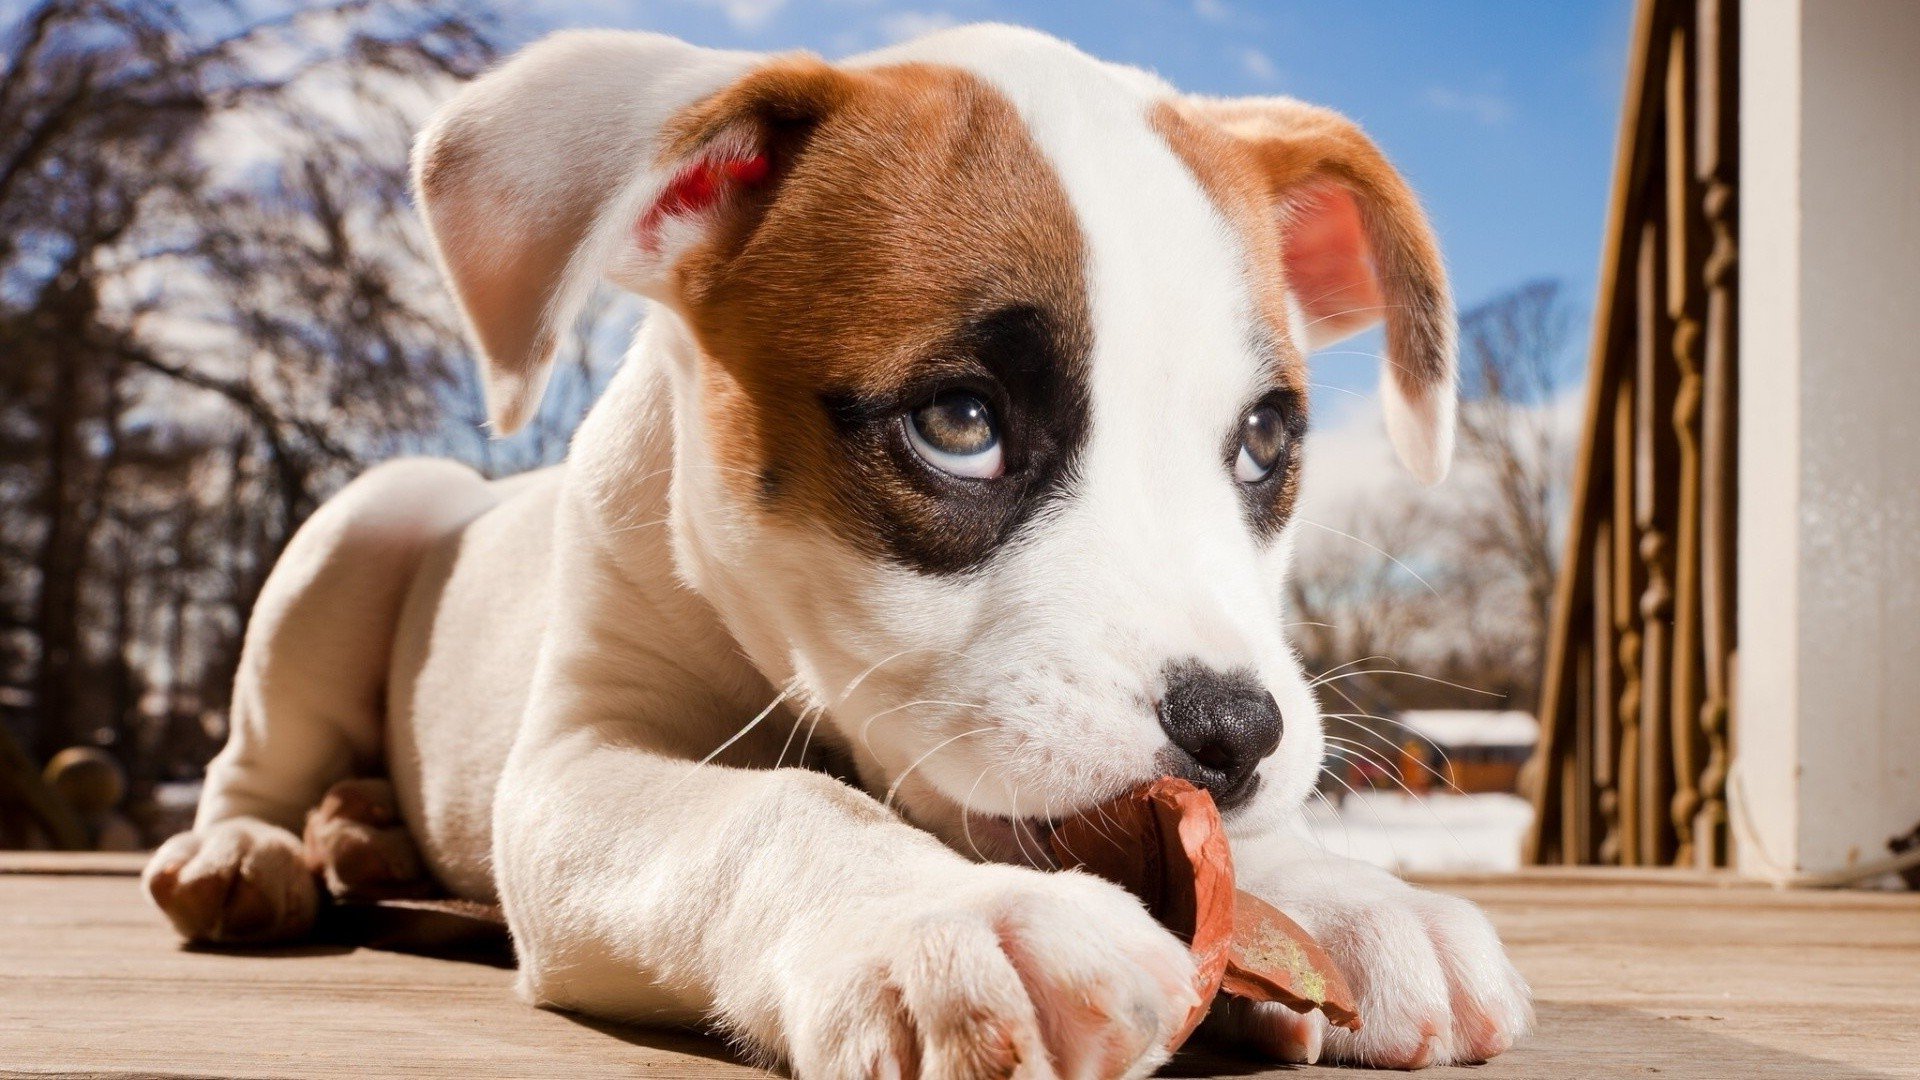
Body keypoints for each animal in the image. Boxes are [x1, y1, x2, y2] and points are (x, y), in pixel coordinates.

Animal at [142, 25, 1528, 1076]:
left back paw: (364, 834)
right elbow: (772, 806)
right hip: (356, 530)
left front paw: (1352, 899)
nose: (1235, 734)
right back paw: (244, 851)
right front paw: (957, 914)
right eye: (961, 423)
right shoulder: (573, 773)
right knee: (251, 757)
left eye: (1263, 441)